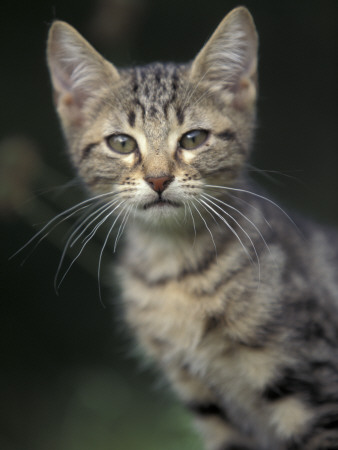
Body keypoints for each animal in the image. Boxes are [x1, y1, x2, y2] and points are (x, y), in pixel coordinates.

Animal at [46, 7, 338, 450]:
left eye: (194, 138)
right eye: (121, 143)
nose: (159, 179)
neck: (175, 267)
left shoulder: (313, 386)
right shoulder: (209, 407)